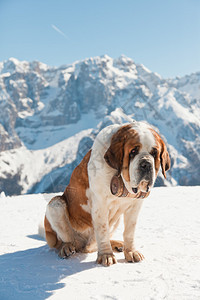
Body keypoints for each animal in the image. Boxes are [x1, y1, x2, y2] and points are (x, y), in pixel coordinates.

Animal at [44, 120, 170, 266]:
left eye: (154, 153)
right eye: (133, 152)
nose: (146, 164)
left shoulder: (135, 206)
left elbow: (129, 231)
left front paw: (131, 251)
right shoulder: (101, 205)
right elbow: (102, 230)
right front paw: (106, 255)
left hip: (116, 219)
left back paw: (118, 244)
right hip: (55, 205)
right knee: (66, 240)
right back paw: (66, 247)